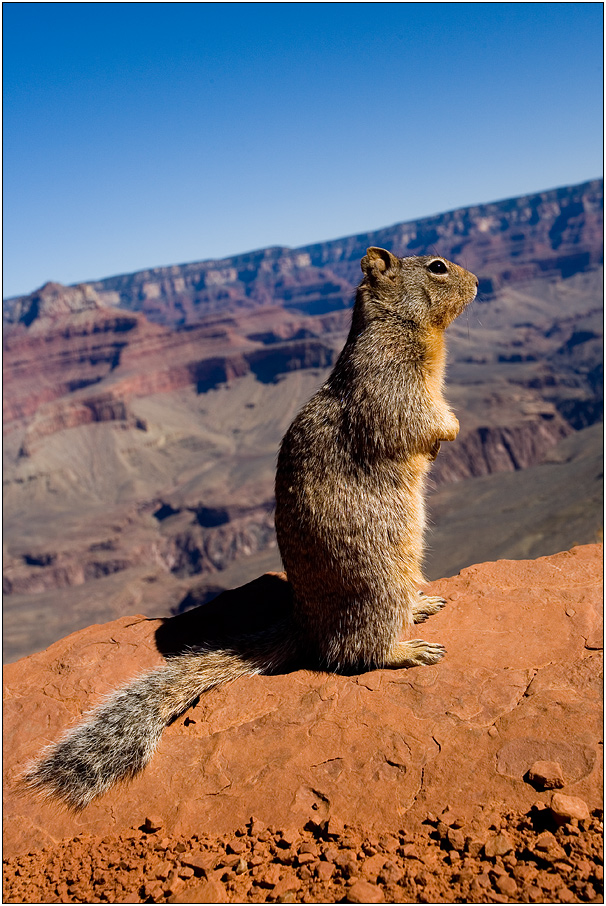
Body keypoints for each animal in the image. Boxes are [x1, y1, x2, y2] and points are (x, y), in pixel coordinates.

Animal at [23, 245, 480, 804]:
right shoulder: (392, 386)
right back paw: (411, 649)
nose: (478, 281)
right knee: (351, 654)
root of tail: (306, 623)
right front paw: (451, 428)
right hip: (378, 589)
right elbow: (421, 421)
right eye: (437, 266)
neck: (403, 330)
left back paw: (424, 604)